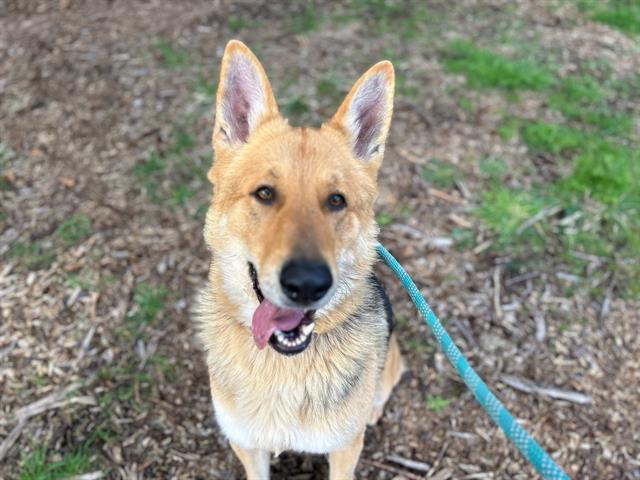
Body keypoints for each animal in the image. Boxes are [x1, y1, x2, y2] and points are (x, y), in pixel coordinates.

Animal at [195, 41, 404, 480]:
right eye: (264, 193)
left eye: (337, 200)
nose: (307, 284)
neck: (285, 365)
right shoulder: (247, 446)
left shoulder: (344, 450)